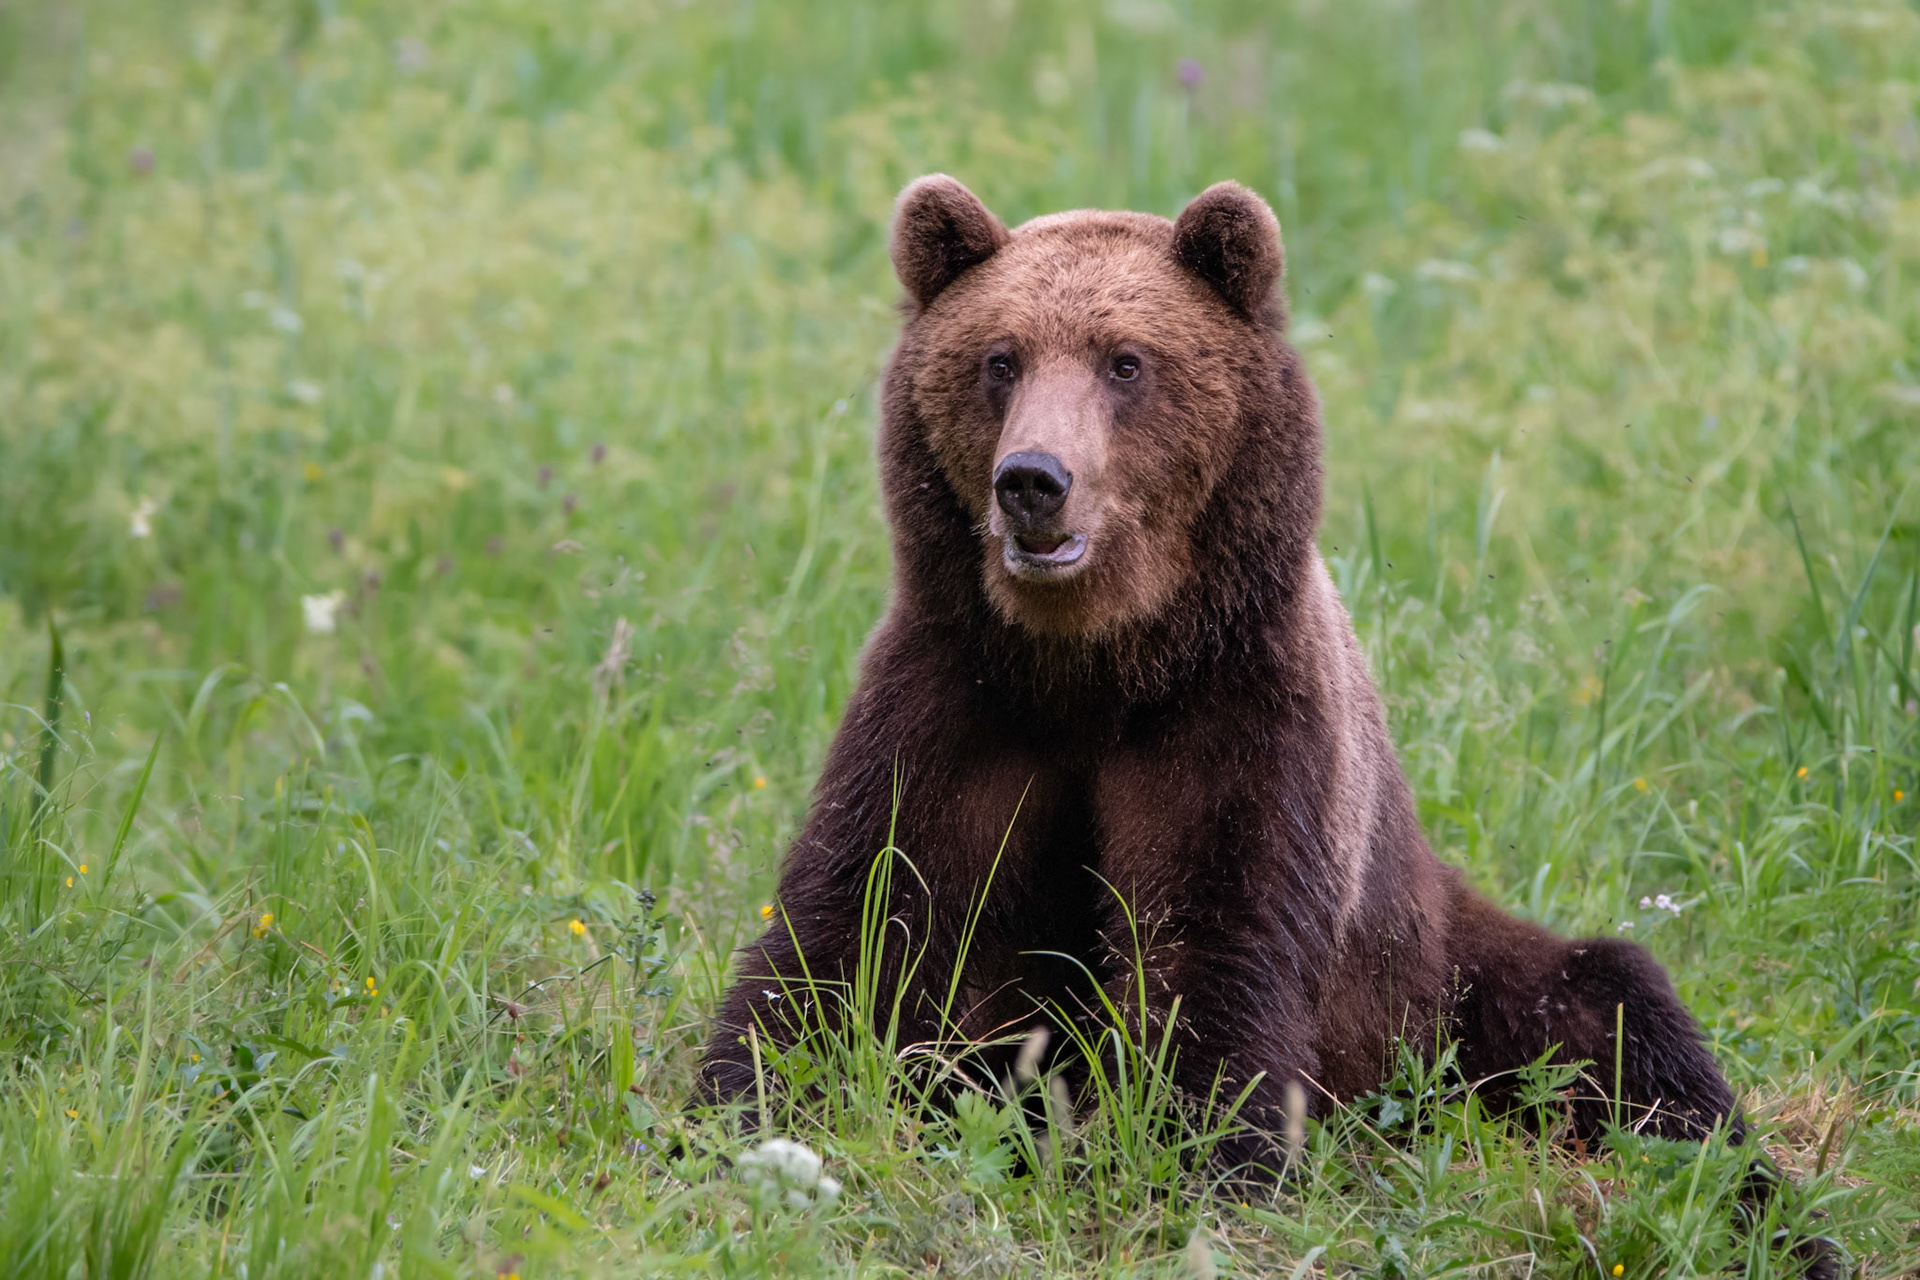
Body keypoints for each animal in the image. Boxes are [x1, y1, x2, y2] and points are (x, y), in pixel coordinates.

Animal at [698, 175, 1832, 1271]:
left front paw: (1193, 1170)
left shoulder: (1238, 722)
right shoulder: (960, 705)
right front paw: (740, 1117)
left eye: (1126, 361)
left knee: (1615, 1017)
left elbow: (1215, 945)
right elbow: (859, 917)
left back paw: (1771, 1217)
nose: (1033, 480)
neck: (1095, 667)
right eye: (999, 359)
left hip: (1437, 985)